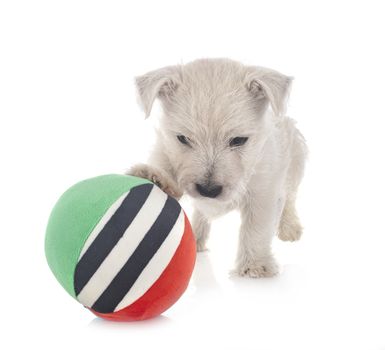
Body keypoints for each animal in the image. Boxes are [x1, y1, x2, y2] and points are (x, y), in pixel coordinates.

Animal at [127, 58, 308, 278]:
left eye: (238, 140)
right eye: (183, 138)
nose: (208, 190)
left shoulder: (263, 192)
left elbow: (256, 228)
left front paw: (255, 265)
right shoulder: (166, 149)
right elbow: (164, 167)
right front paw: (155, 177)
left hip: (295, 166)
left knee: (290, 198)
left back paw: (290, 228)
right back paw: (196, 238)